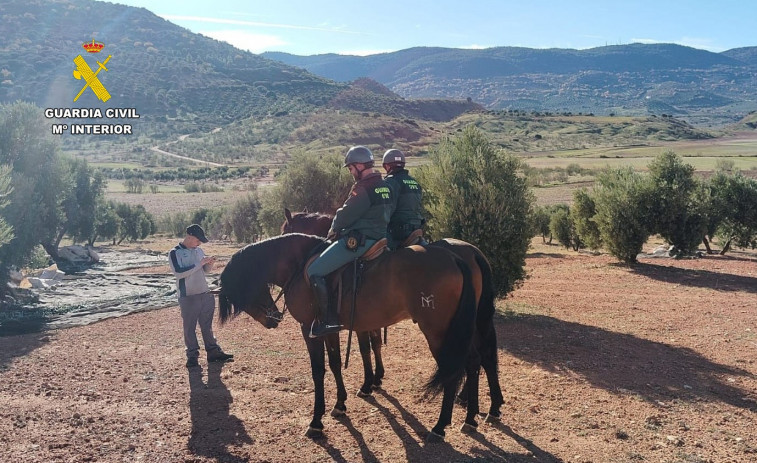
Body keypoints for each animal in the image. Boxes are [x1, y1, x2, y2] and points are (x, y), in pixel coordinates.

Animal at [217, 234, 478, 440]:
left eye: (239, 293)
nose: (273, 319)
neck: (299, 266)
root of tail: (454, 257)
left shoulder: (308, 330)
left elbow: (318, 371)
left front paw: (316, 422)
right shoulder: (327, 329)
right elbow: (334, 364)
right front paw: (340, 404)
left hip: (439, 333)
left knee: (453, 370)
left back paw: (440, 426)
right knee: (472, 365)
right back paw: (470, 418)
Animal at [280, 208, 504, 426]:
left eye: (285, 229)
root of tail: (469, 253)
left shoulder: (359, 322)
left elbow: (367, 348)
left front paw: (369, 383)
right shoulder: (366, 321)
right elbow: (374, 345)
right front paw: (375, 379)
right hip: (473, 322)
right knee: (482, 355)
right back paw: (486, 406)